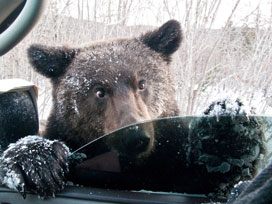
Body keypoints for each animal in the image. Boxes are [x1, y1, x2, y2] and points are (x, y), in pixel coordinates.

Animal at [0, 20, 264, 199]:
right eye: (99, 91)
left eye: (142, 83)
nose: (134, 136)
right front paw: (37, 161)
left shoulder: (171, 164)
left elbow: (217, 179)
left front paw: (229, 128)